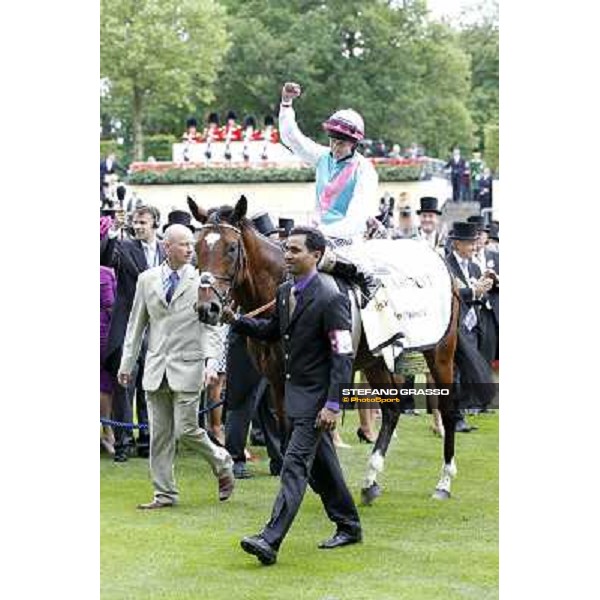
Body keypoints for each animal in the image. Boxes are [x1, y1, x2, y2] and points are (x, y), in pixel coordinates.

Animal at [190, 196, 494, 502]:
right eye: (197, 247)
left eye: (231, 247)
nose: (208, 308)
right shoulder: (277, 378)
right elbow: (289, 426)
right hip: (376, 360)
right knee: (393, 409)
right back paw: (371, 479)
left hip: (440, 352)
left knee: (447, 407)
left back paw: (443, 481)